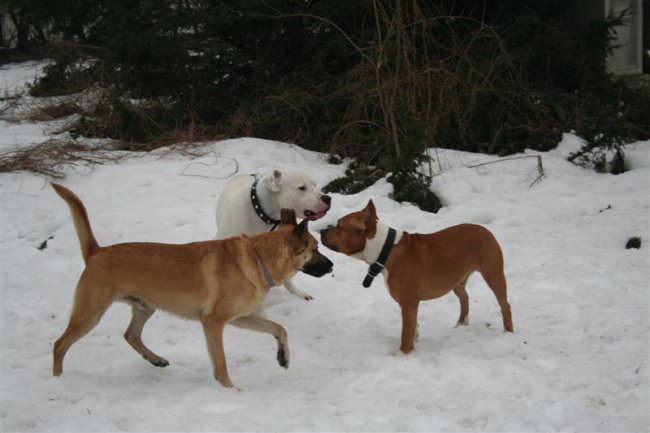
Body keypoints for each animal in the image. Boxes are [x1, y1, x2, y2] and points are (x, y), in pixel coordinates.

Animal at [50, 183, 332, 388]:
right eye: (315, 249)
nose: (332, 266)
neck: (258, 257)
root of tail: (96, 252)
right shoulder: (213, 323)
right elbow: (221, 364)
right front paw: (230, 390)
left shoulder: (241, 318)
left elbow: (279, 329)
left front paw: (283, 357)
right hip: (90, 314)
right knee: (59, 345)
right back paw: (58, 381)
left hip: (144, 307)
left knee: (131, 335)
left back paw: (155, 358)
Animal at [318, 199, 512, 354]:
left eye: (339, 225)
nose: (320, 231)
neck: (385, 249)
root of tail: (485, 229)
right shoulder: (412, 305)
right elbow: (413, 329)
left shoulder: (408, 304)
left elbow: (406, 333)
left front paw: (403, 355)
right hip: (456, 281)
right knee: (464, 298)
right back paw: (462, 325)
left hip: (493, 275)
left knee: (505, 305)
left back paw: (509, 333)